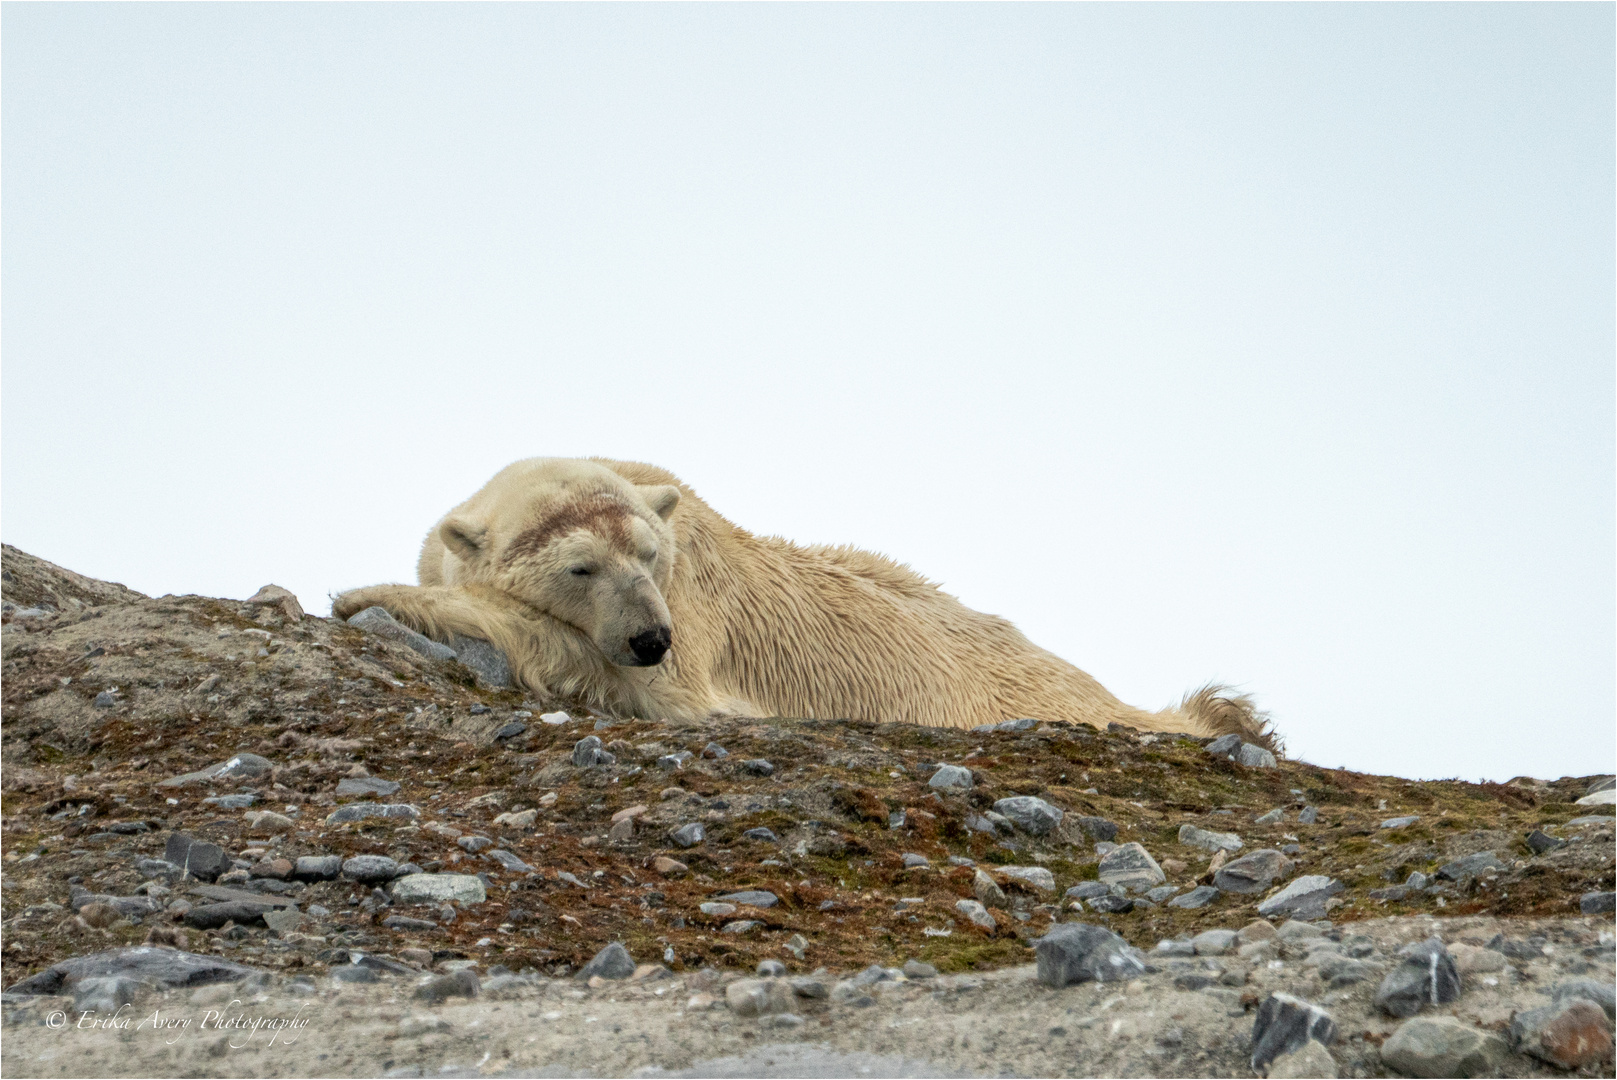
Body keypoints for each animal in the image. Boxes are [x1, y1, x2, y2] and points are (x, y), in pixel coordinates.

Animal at [331, 455, 1274, 743]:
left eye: (648, 555)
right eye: (580, 568)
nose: (648, 639)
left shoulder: (697, 608)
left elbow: (664, 695)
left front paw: (358, 593)